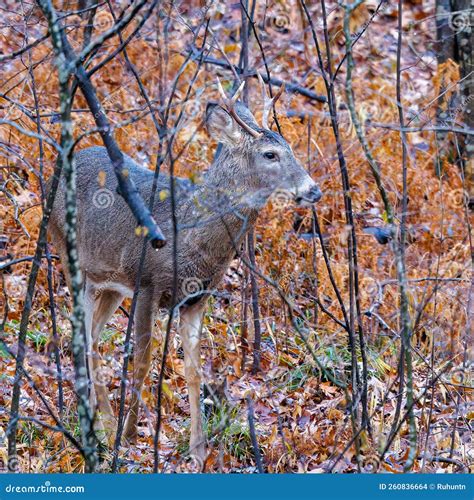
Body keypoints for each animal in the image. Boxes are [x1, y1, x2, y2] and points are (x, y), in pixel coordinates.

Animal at [46, 78, 322, 460]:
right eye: (270, 154)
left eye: (291, 148)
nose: (314, 190)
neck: (193, 236)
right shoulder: (148, 283)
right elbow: (143, 362)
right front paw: (129, 437)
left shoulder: (196, 298)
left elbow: (194, 371)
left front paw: (198, 448)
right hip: (67, 252)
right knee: (83, 338)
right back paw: (102, 429)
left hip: (110, 284)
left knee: (94, 338)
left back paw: (100, 419)